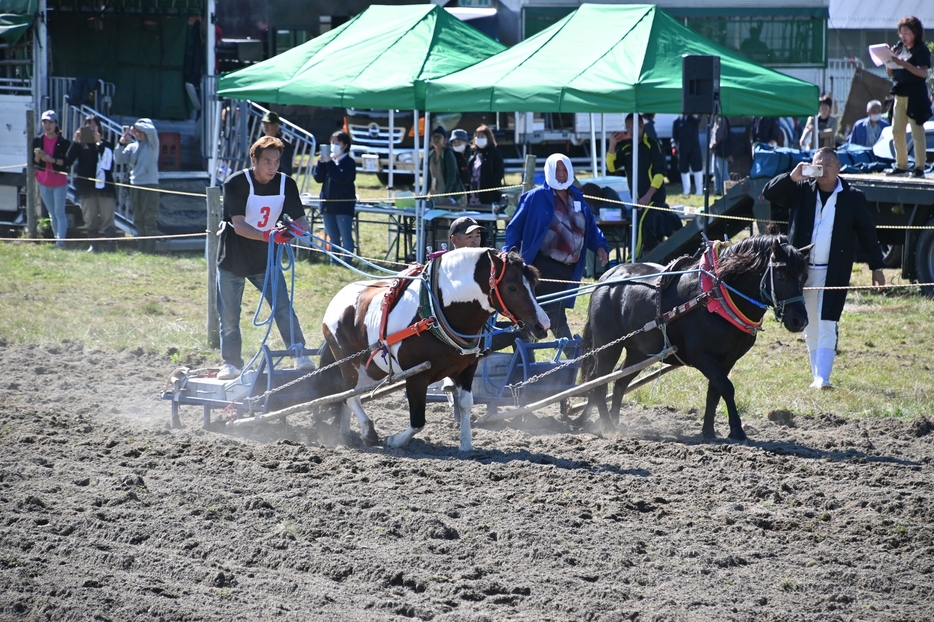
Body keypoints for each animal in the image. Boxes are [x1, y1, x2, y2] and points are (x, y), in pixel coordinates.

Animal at [326, 249, 552, 454]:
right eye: (512, 287)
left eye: (534, 285)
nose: (543, 325)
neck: (436, 312)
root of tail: (338, 298)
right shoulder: (416, 376)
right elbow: (418, 420)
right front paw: (395, 440)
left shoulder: (467, 369)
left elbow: (466, 405)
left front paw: (466, 445)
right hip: (348, 364)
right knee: (350, 396)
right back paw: (368, 431)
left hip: (371, 368)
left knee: (348, 396)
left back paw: (346, 434)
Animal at [576, 235, 812, 444]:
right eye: (781, 276)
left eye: (804, 277)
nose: (799, 320)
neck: (717, 294)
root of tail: (607, 277)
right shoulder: (701, 356)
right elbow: (727, 388)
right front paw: (737, 431)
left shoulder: (727, 360)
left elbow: (714, 393)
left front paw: (709, 431)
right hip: (607, 347)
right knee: (598, 383)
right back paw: (607, 426)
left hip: (638, 352)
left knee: (619, 383)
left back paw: (612, 422)